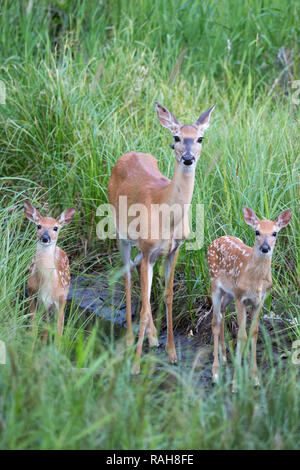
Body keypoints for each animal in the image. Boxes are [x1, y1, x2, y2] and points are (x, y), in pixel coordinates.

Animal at [24, 200, 76, 336]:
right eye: (38, 226)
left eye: (55, 228)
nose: (45, 238)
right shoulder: (32, 294)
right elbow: (33, 327)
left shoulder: (60, 301)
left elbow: (58, 331)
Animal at [109, 101, 214, 372]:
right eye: (176, 137)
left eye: (200, 138)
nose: (187, 158)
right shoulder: (147, 249)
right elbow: (146, 304)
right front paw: (136, 365)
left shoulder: (173, 250)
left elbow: (167, 296)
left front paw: (172, 353)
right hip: (121, 235)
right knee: (127, 277)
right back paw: (129, 340)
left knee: (139, 279)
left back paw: (153, 338)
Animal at [209, 206, 290, 390]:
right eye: (257, 231)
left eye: (275, 233)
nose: (265, 248)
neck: (256, 280)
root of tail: (216, 239)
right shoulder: (241, 298)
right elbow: (242, 335)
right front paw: (235, 383)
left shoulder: (259, 300)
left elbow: (254, 332)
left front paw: (255, 378)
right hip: (214, 284)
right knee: (215, 321)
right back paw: (215, 373)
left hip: (229, 293)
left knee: (222, 313)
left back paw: (224, 357)